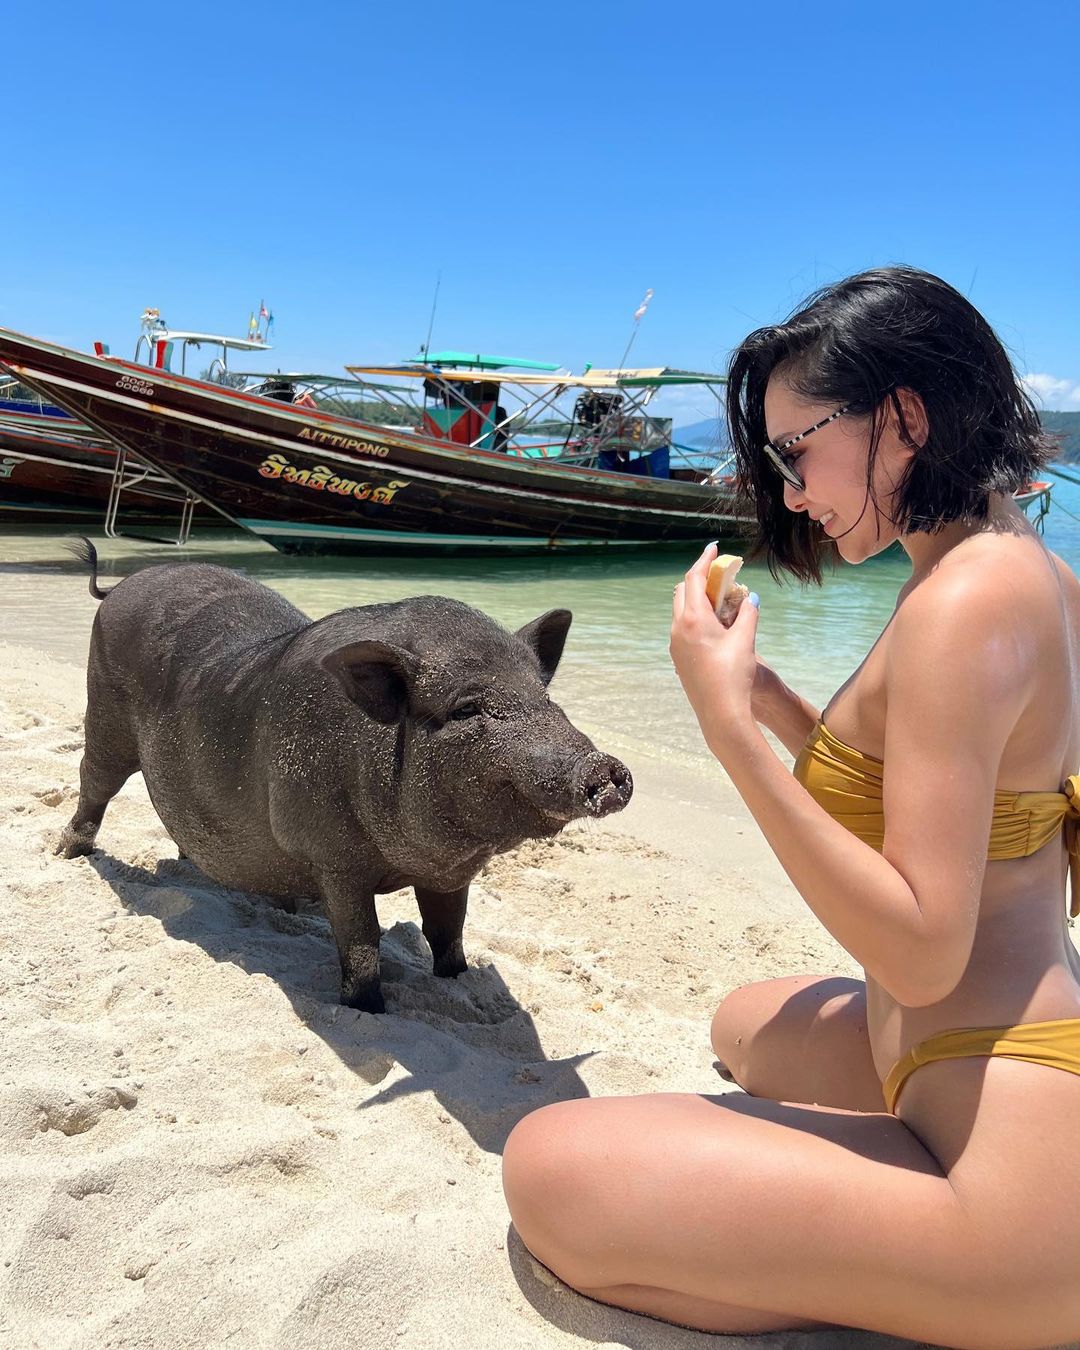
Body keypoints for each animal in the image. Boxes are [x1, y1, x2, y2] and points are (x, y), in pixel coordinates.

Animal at [59, 540, 632, 1012]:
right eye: (467, 708)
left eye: (544, 694)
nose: (604, 767)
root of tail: (118, 588)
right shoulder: (332, 856)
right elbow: (361, 940)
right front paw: (369, 1009)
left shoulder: (449, 876)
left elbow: (448, 931)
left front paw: (458, 979)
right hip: (103, 715)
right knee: (93, 785)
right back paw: (66, 853)